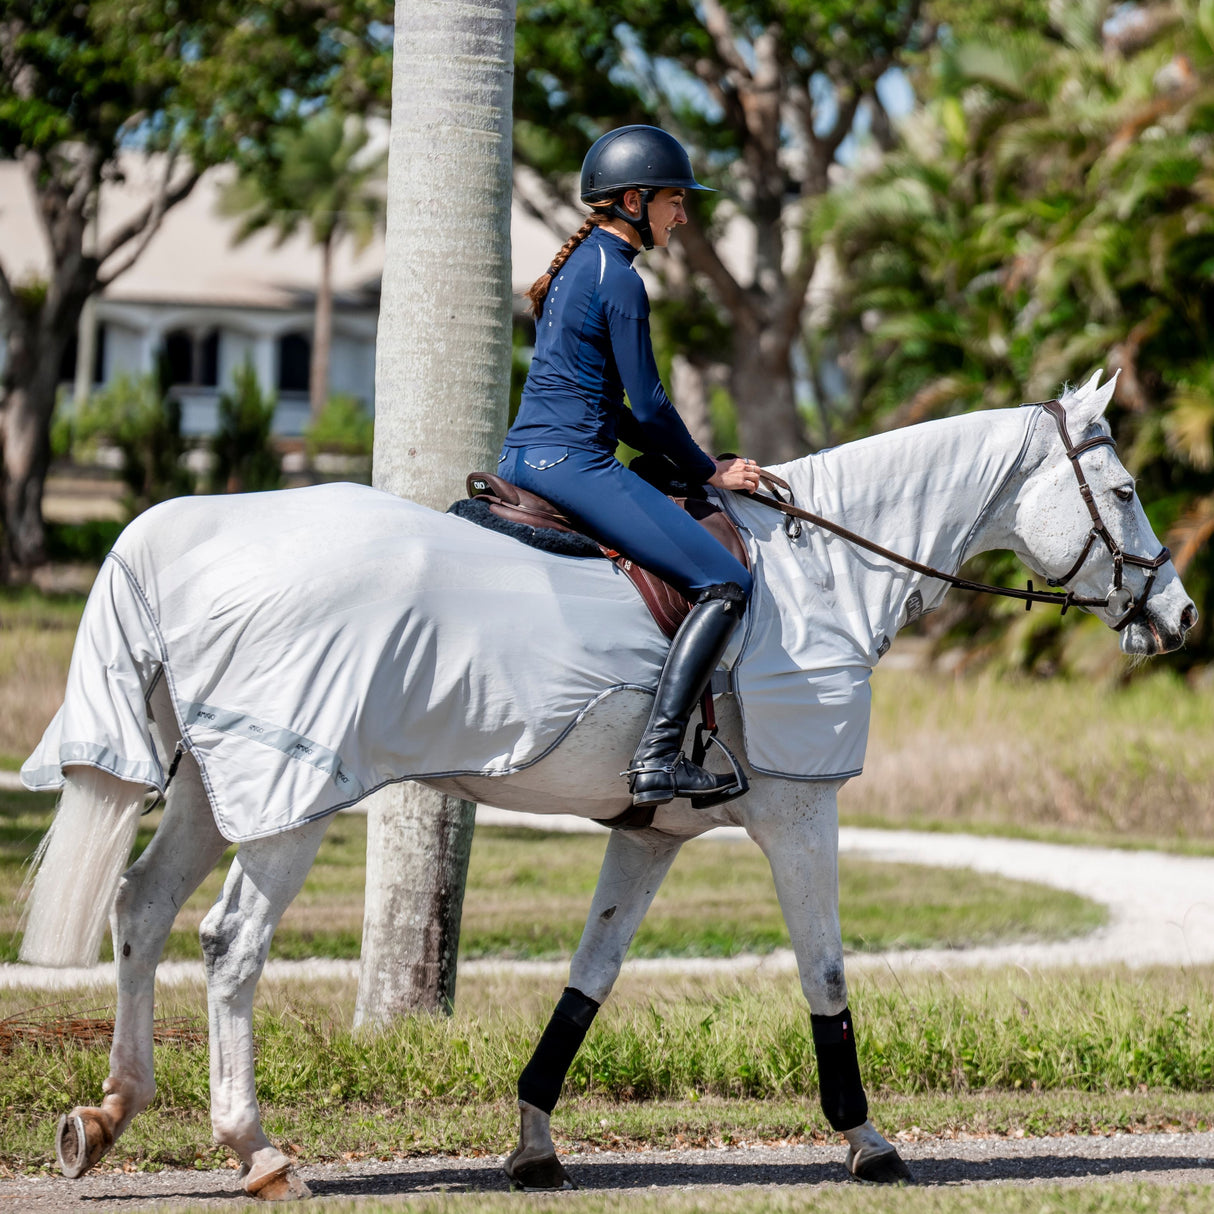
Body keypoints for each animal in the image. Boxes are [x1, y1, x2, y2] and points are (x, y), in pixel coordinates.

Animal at [16, 373, 1194, 1199]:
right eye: (1127, 491)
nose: (1177, 618)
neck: (825, 572)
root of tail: (182, 531)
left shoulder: (649, 833)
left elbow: (589, 978)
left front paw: (533, 1142)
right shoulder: (800, 810)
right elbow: (824, 973)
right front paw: (867, 1138)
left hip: (214, 787)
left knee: (141, 908)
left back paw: (109, 1115)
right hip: (291, 800)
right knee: (229, 945)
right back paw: (256, 1149)